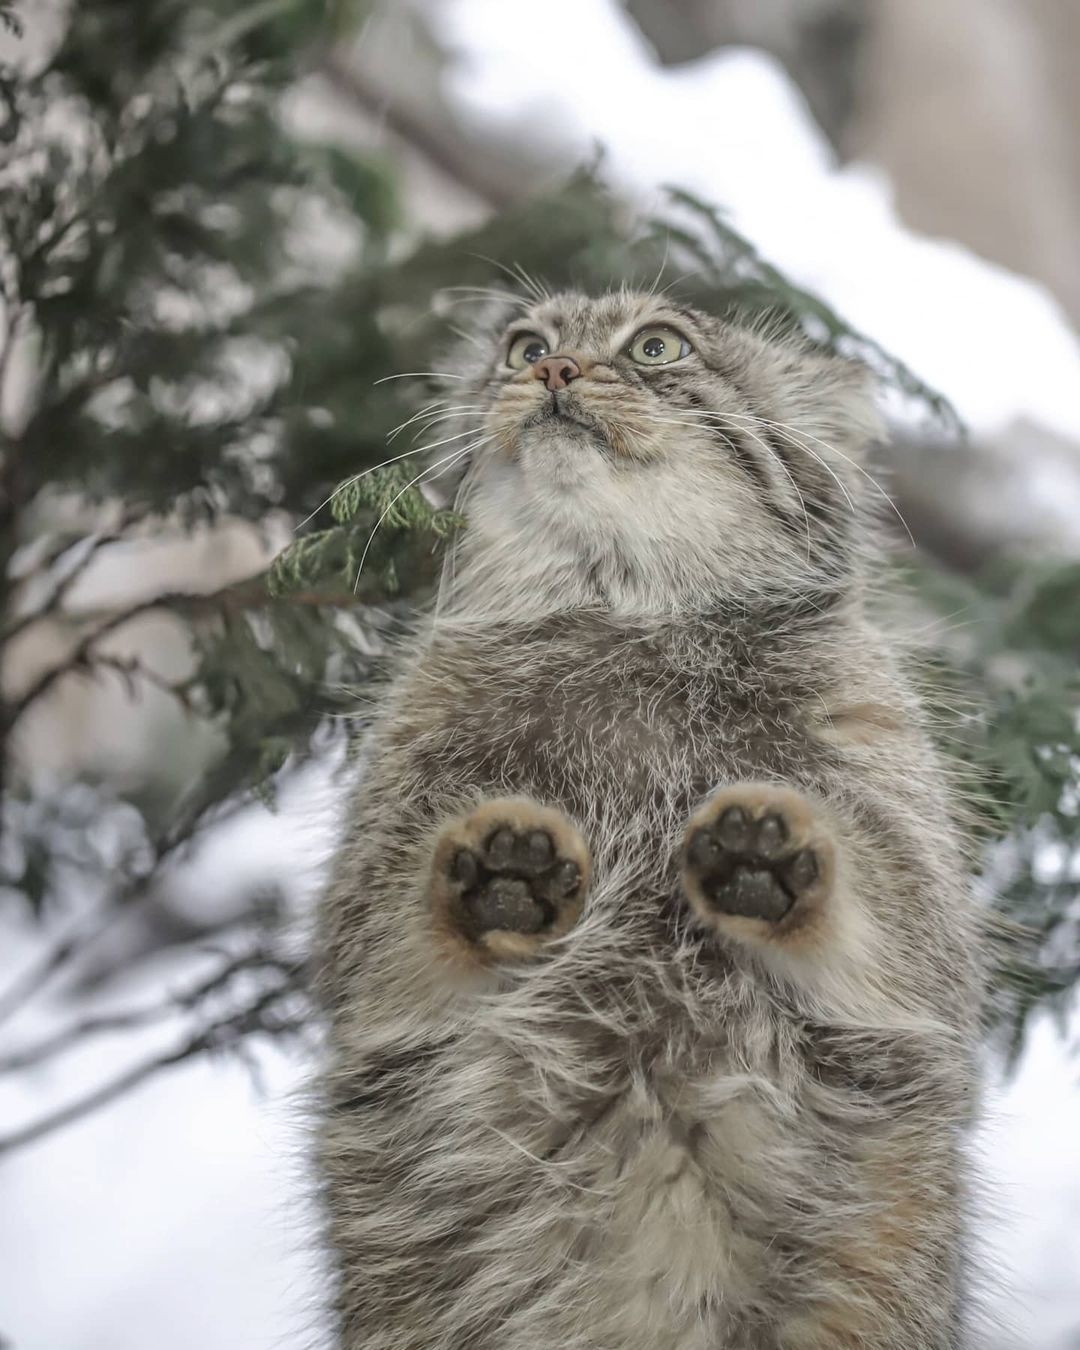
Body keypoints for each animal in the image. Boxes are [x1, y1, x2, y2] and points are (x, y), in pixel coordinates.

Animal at [315, 292, 982, 1350]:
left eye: (657, 346)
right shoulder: (376, 900)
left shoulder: (905, 866)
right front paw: (496, 873)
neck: (627, 615)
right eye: (526, 345)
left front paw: (774, 858)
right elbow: (396, 951)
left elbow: (882, 929)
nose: (552, 372)